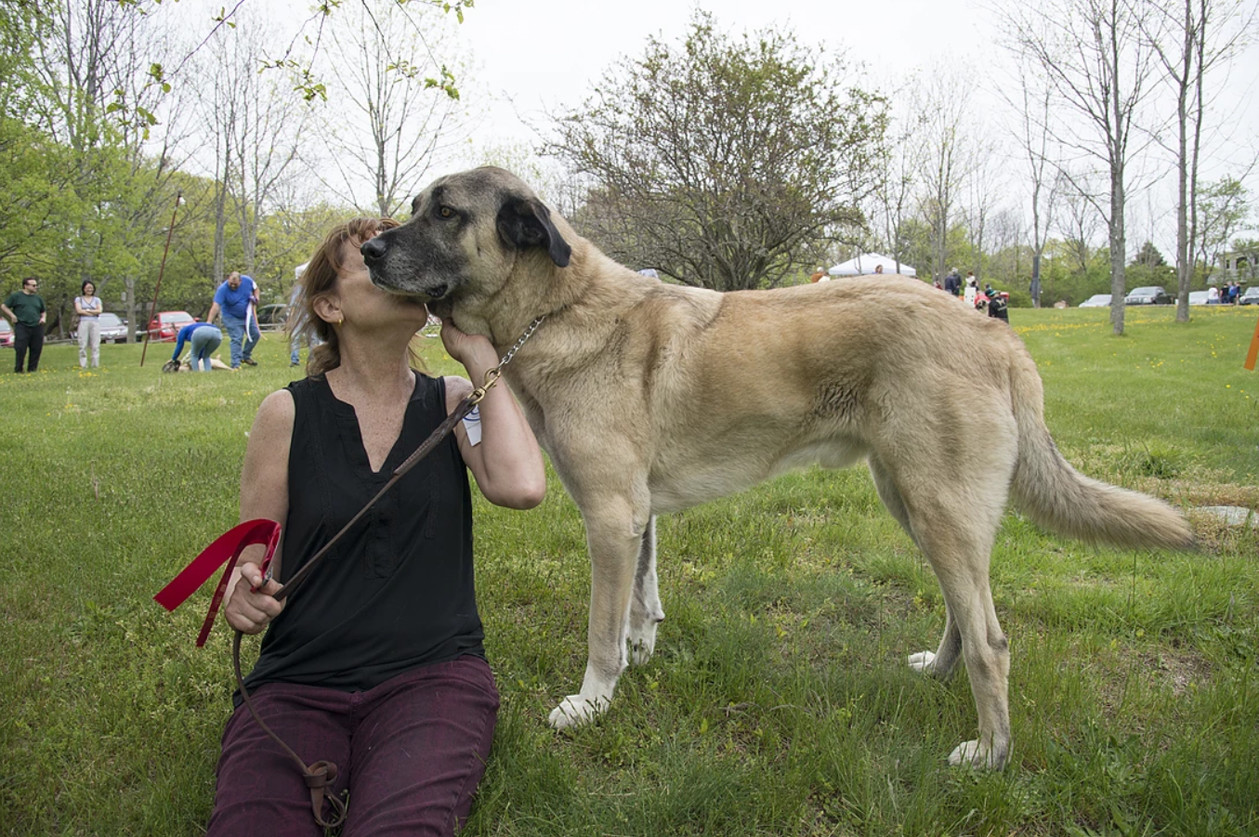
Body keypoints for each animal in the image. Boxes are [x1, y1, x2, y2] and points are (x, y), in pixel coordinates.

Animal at [360, 166, 1193, 765]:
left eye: (445, 213)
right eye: (416, 205)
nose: (366, 250)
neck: (556, 307)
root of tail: (992, 330)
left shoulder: (608, 514)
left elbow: (600, 626)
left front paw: (591, 702)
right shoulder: (637, 514)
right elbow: (641, 599)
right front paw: (641, 653)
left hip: (936, 507)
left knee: (991, 640)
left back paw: (988, 753)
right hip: (915, 502)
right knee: (967, 613)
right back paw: (936, 673)